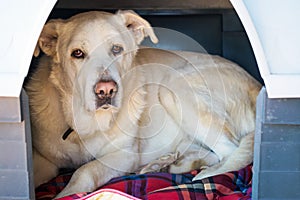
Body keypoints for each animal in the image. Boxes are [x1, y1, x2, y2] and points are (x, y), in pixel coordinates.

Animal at [25, 10, 260, 198]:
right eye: (77, 53)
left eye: (117, 49)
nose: (106, 90)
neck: (85, 122)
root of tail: (257, 86)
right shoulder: (42, 159)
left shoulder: (124, 155)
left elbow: (83, 171)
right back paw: (165, 163)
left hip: (175, 87)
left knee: (229, 153)